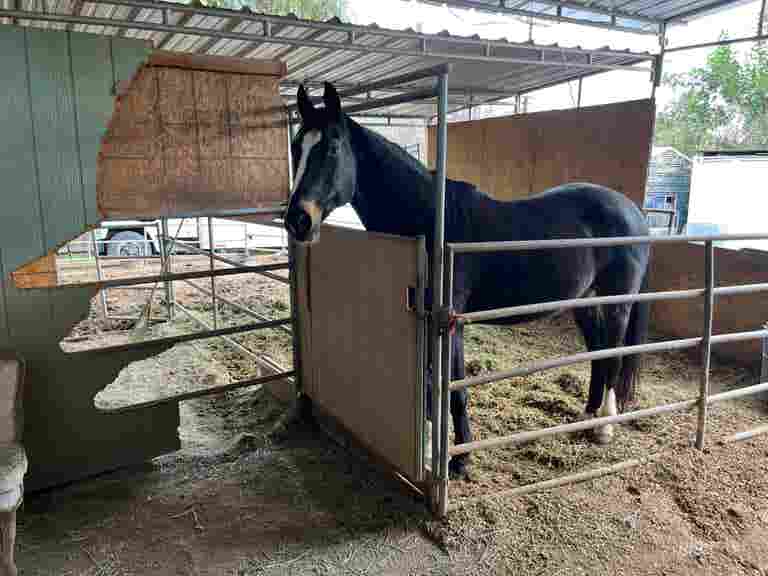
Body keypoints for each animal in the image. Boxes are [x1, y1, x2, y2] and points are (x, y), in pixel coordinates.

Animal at [283, 82, 651, 478]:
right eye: (296, 146)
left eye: (333, 147)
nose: (297, 221)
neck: (433, 221)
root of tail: (633, 211)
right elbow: (430, 388)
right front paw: (429, 452)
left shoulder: (451, 325)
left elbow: (453, 390)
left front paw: (459, 460)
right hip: (583, 300)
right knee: (598, 350)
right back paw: (587, 415)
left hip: (617, 303)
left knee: (613, 353)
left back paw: (604, 427)